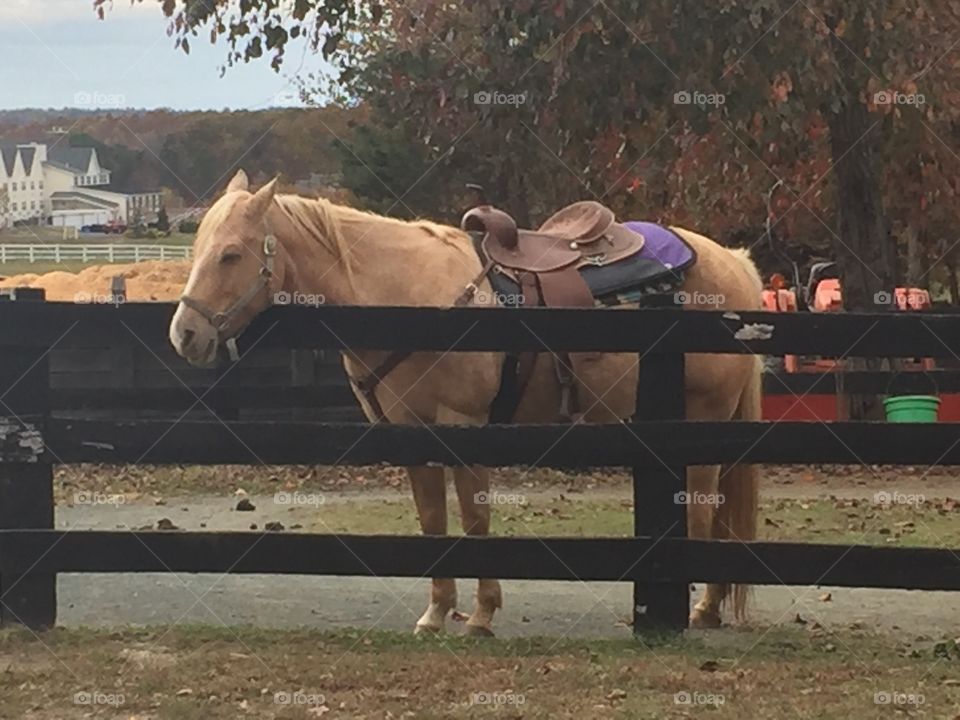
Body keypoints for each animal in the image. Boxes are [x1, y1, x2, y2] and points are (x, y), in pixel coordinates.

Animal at [169, 170, 760, 636]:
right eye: (197, 250)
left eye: (231, 254)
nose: (185, 335)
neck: (413, 299)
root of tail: (732, 263)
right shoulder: (410, 432)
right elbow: (433, 521)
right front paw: (436, 614)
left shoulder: (465, 425)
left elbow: (475, 519)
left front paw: (481, 615)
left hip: (703, 420)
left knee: (703, 507)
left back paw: (699, 608)